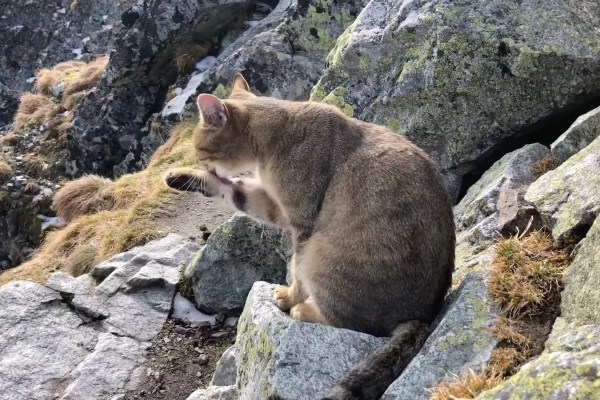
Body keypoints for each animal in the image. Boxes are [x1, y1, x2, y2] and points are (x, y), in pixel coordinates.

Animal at [164, 73, 454, 398]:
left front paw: (289, 297)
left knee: (350, 321)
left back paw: (304, 310)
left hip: (322, 256)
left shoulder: (301, 223)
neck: (272, 141)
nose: (198, 160)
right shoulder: (276, 207)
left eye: (199, 149)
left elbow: (295, 271)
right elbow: (233, 191)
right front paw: (181, 178)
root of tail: (422, 317)